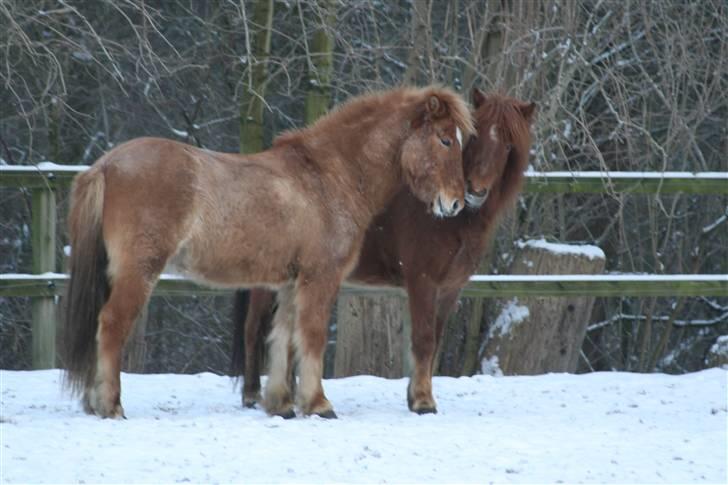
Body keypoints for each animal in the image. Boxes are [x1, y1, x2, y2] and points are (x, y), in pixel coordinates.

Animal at [61, 85, 472, 418]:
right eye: (444, 140)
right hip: (139, 271)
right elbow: (311, 335)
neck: (329, 177)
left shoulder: (289, 283)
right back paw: (110, 405)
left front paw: (282, 404)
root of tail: (104, 165)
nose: (455, 203)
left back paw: (94, 402)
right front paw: (318, 403)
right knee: (111, 323)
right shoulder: (319, 278)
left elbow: (282, 340)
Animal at [232, 88, 536, 412]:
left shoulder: (450, 289)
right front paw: (423, 401)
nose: (473, 192)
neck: (453, 223)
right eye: (475, 139)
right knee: (254, 329)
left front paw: (416, 395)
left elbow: (434, 341)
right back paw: (254, 394)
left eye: (508, 146)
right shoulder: (422, 281)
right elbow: (424, 339)